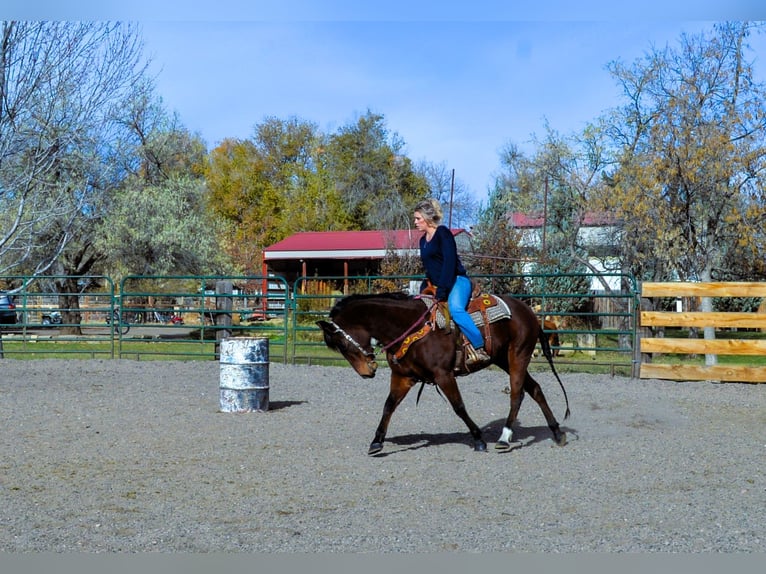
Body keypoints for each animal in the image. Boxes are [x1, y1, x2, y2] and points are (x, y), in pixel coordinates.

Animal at [318, 294, 568, 456]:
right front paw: (377, 441)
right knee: (534, 389)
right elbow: (389, 406)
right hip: (503, 359)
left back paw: (504, 438)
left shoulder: (444, 375)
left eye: (342, 344)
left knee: (517, 393)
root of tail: (529, 312)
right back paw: (557, 433)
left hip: (519, 355)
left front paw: (478, 439)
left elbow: (459, 407)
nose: (366, 372)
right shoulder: (402, 376)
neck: (408, 328)